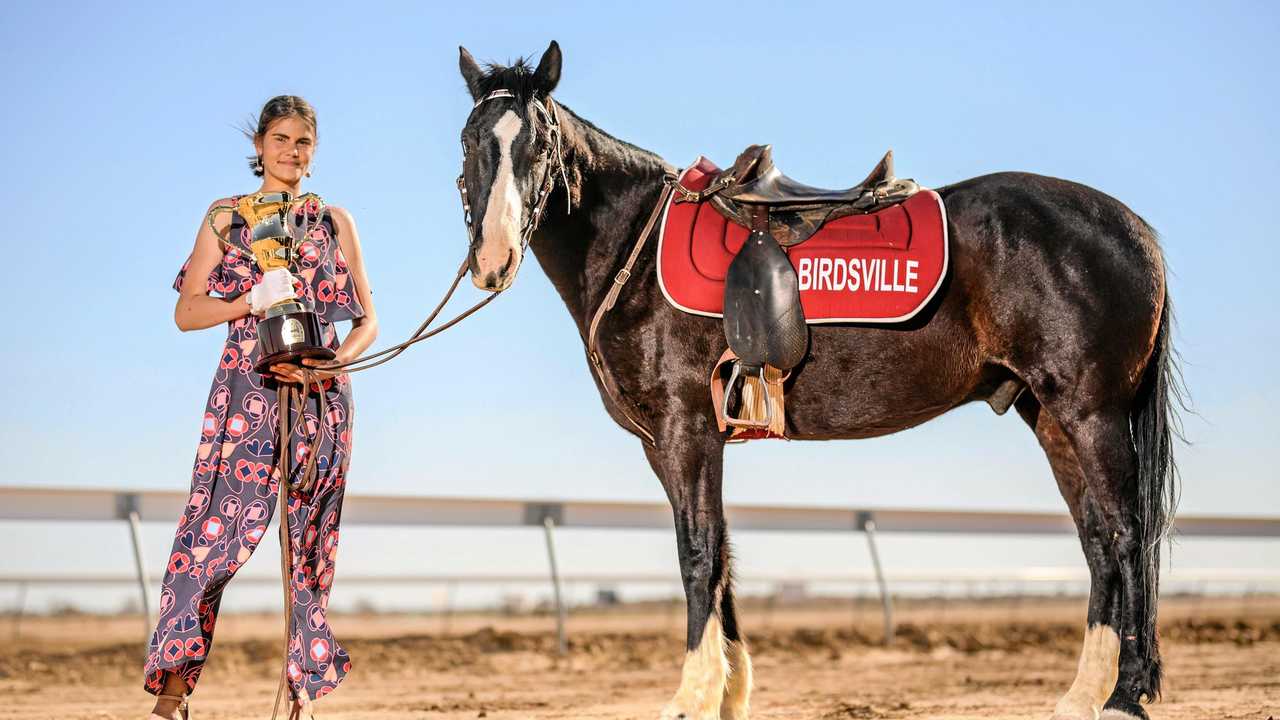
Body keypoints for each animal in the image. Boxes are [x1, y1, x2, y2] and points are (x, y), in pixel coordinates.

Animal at [458, 43, 1177, 717]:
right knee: (1097, 543)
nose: (493, 260)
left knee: (1127, 535)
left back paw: (1126, 693)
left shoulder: (687, 431)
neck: (632, 249)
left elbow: (697, 553)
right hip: (1050, 418)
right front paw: (729, 694)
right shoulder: (665, 444)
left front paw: (693, 695)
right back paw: (1083, 694)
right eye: (470, 140)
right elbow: (721, 556)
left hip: (1091, 414)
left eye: (541, 144)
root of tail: (1136, 229)